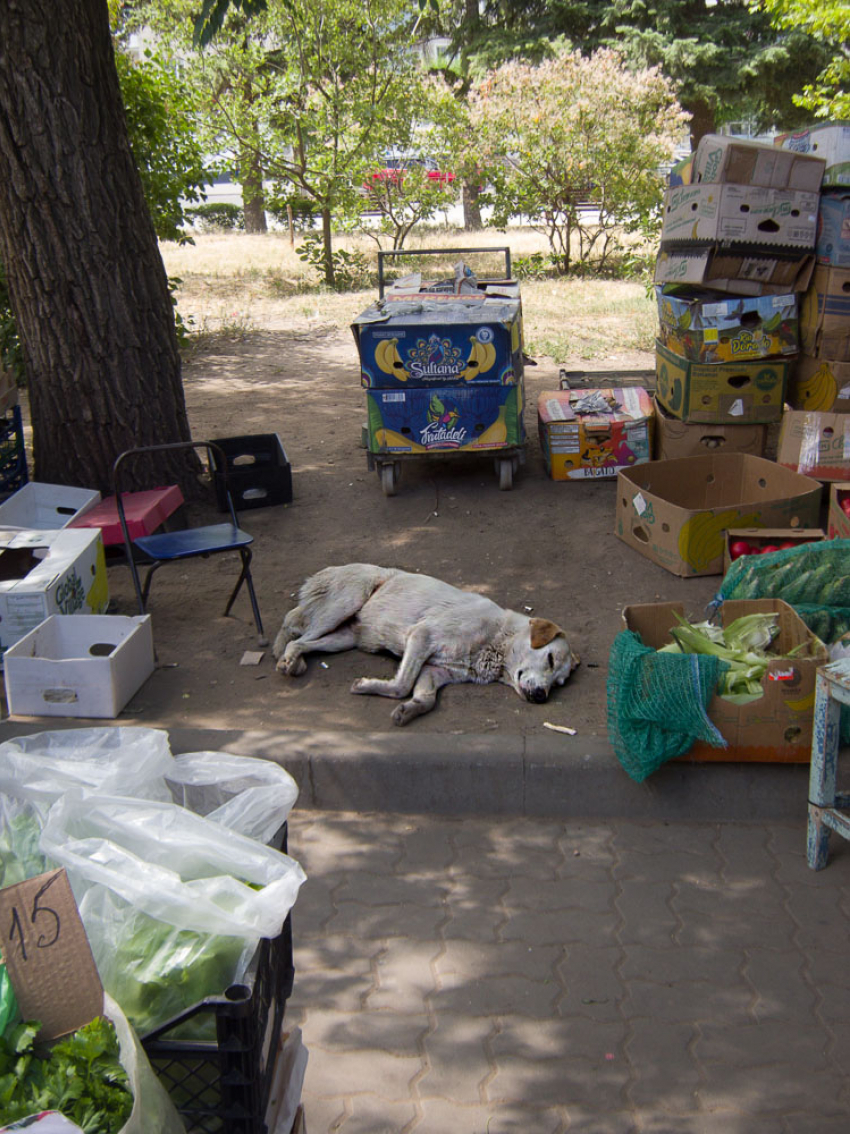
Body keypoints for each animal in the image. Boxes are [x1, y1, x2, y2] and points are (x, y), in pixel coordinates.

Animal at [273, 564, 580, 725]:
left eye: (559, 683)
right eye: (550, 659)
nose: (541, 696)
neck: (497, 642)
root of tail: (328, 570)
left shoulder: (435, 671)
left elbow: (426, 698)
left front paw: (410, 709)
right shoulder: (422, 636)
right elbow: (402, 685)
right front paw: (366, 686)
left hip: (344, 638)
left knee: (304, 643)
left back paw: (295, 661)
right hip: (346, 602)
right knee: (297, 634)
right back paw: (287, 660)